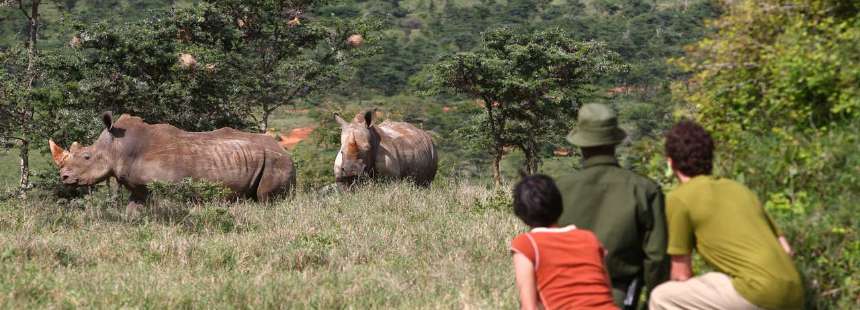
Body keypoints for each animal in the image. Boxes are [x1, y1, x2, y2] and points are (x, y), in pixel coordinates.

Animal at [52, 112, 298, 212]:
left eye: (87, 157)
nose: (64, 177)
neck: (118, 146)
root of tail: (286, 151)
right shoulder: (139, 187)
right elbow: (132, 210)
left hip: (276, 162)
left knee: (265, 198)